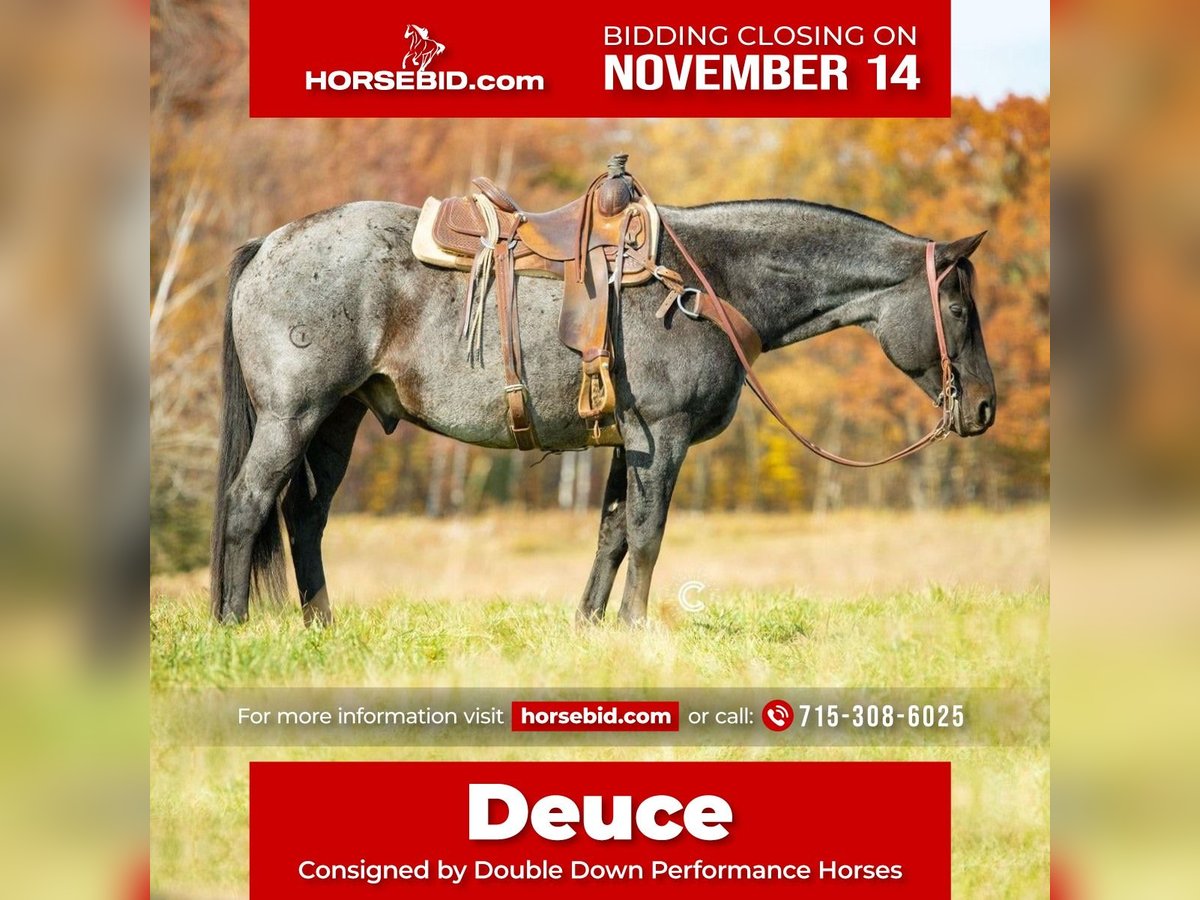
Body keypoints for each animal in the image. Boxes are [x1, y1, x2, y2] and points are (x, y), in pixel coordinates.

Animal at [210, 197, 996, 626]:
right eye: (959, 309)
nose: (986, 406)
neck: (708, 283)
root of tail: (269, 244)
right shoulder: (662, 439)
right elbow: (646, 535)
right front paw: (636, 625)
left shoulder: (627, 444)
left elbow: (612, 533)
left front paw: (591, 625)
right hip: (293, 416)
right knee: (248, 504)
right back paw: (232, 622)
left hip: (336, 421)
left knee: (304, 518)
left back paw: (321, 626)